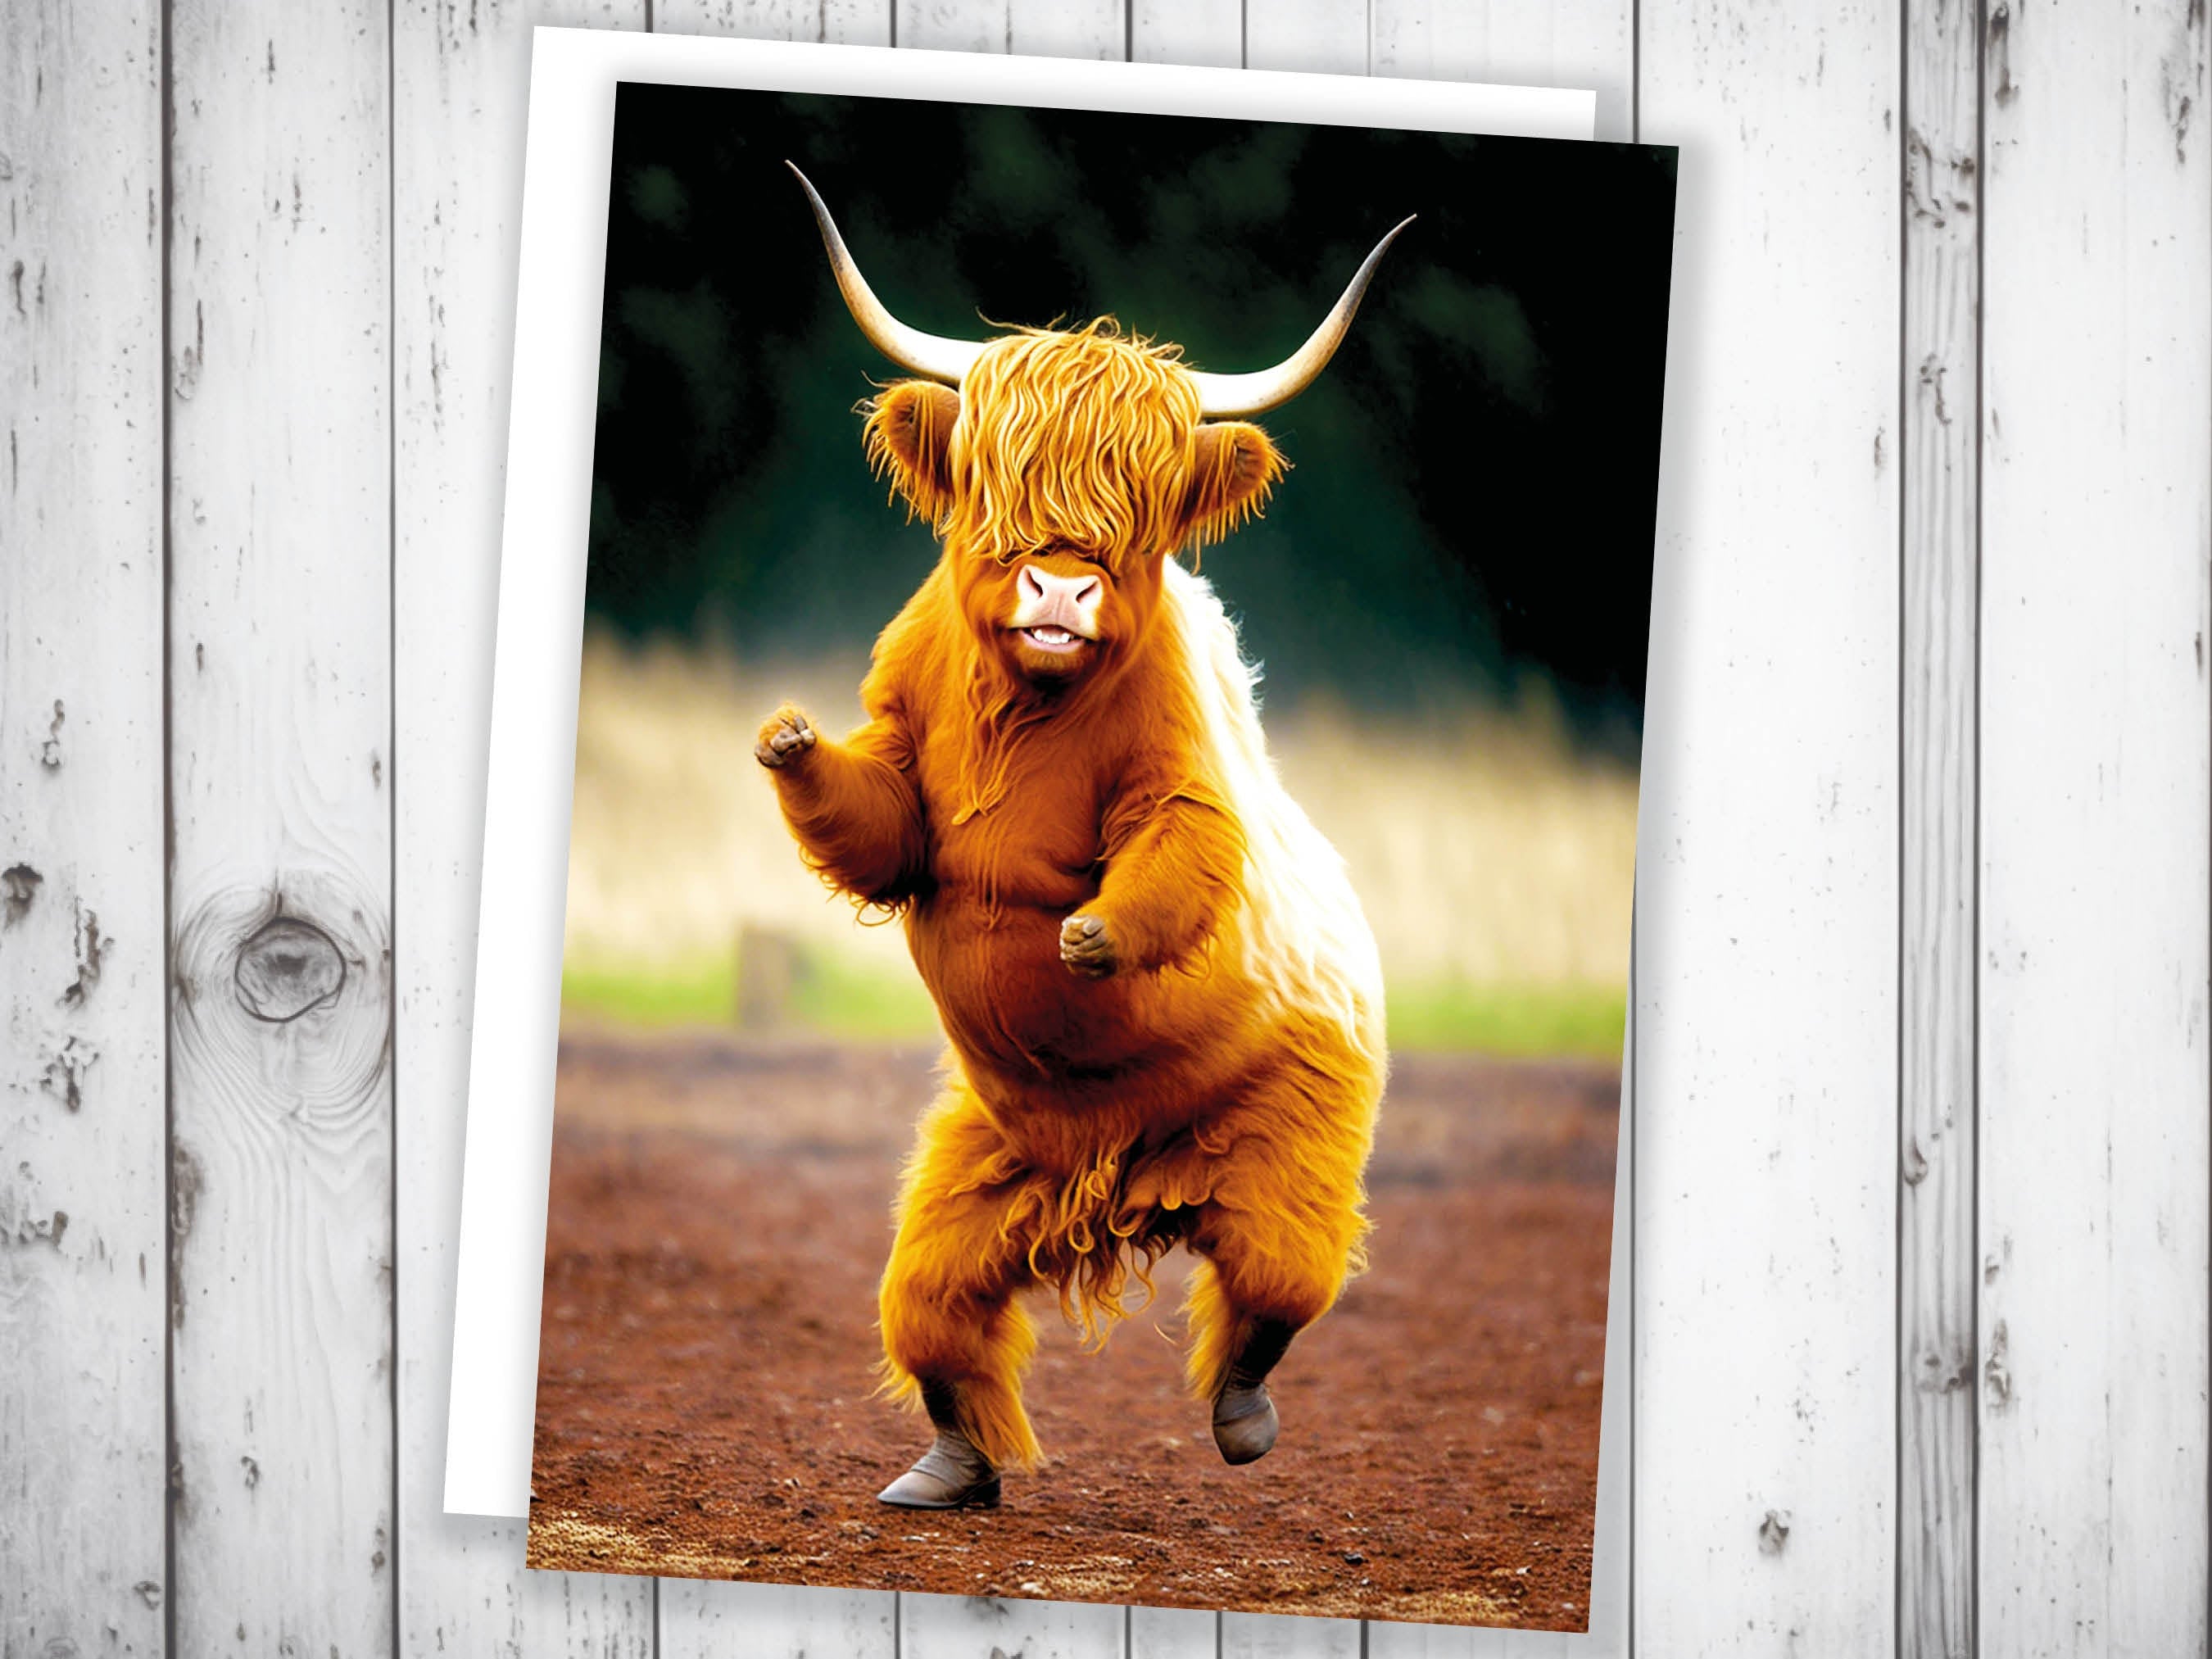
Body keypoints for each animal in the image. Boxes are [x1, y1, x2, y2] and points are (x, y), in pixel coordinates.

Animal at [757, 164, 1409, 1509]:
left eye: (1138, 514)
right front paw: (788, 740)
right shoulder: (898, 746)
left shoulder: (1179, 789)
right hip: (975, 1171)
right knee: (934, 1310)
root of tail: (1131, 1187)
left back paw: (1243, 1418)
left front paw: (1091, 939)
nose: (1061, 591)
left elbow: (1175, 858)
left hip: (1297, 1146)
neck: (1029, 708)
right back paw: (943, 1474)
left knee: (1275, 1289)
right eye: (999, 490)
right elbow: (873, 821)